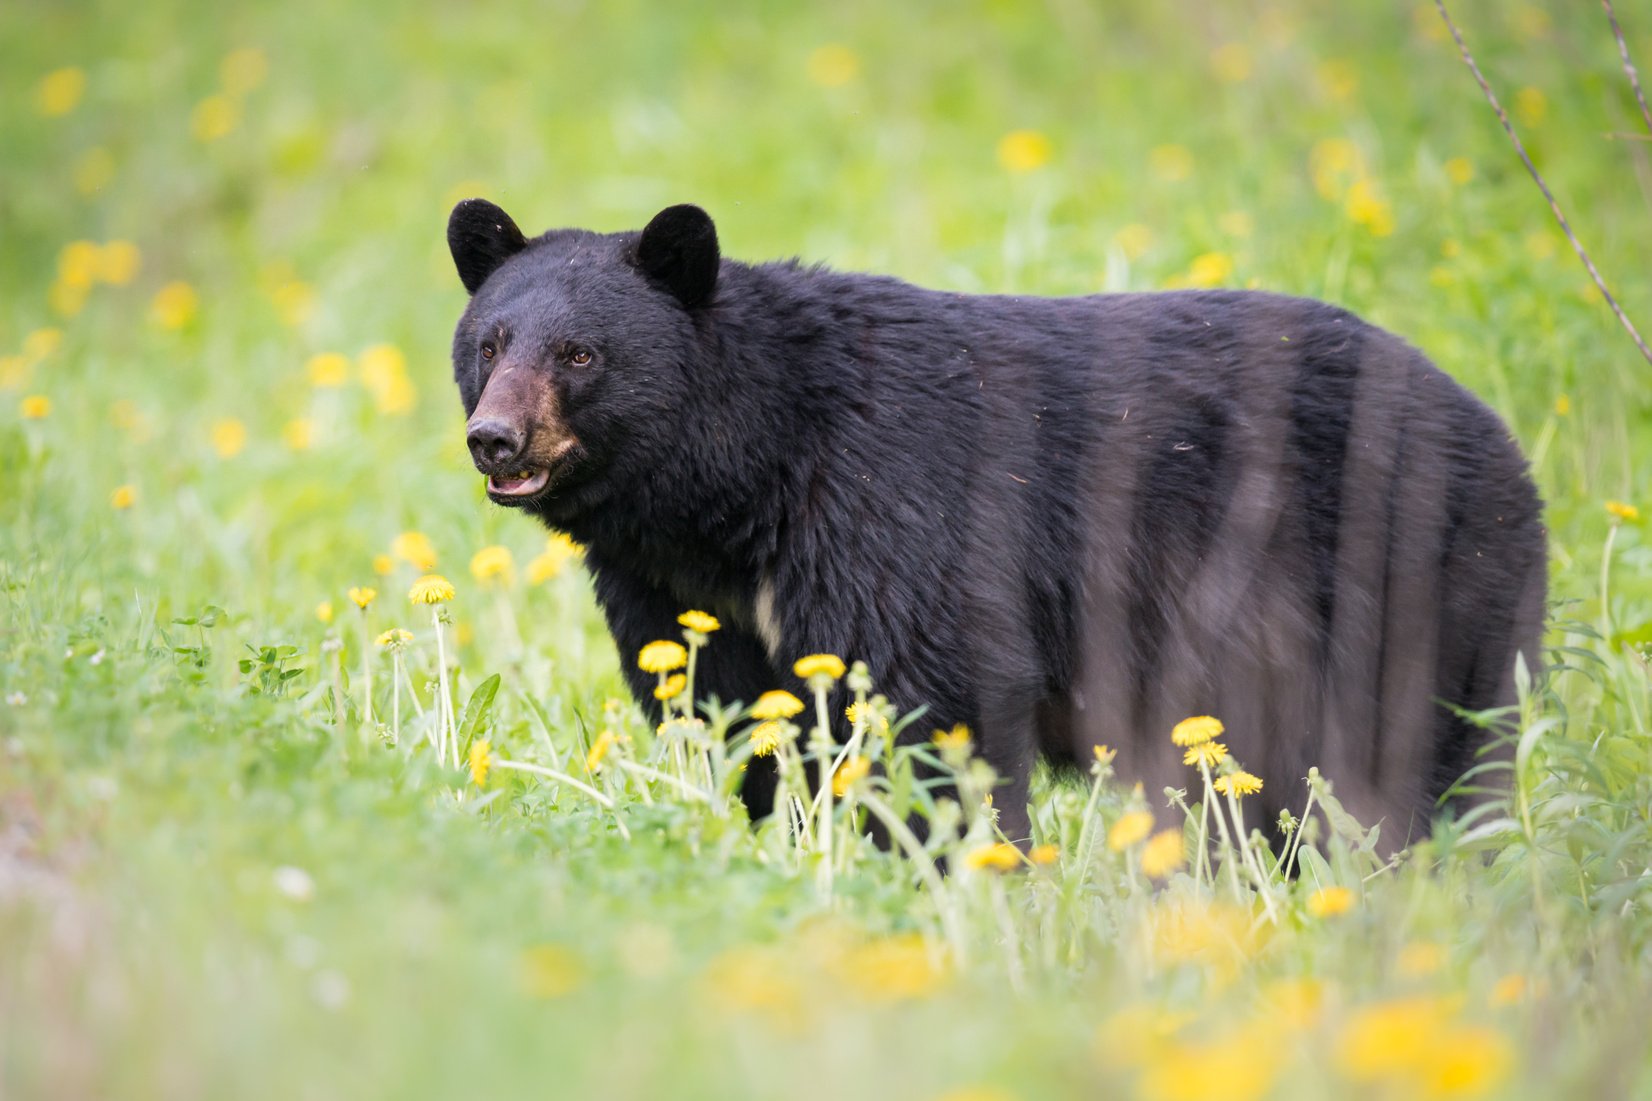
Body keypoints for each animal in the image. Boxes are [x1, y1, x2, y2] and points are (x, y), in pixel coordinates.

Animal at [446, 199, 1539, 839]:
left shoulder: (891, 503)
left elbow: (937, 693)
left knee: (1416, 757)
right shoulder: (675, 589)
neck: (743, 483)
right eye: (490, 341)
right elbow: (734, 712)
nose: (494, 438)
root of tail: (1500, 434)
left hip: (1410, 581)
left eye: (580, 353)